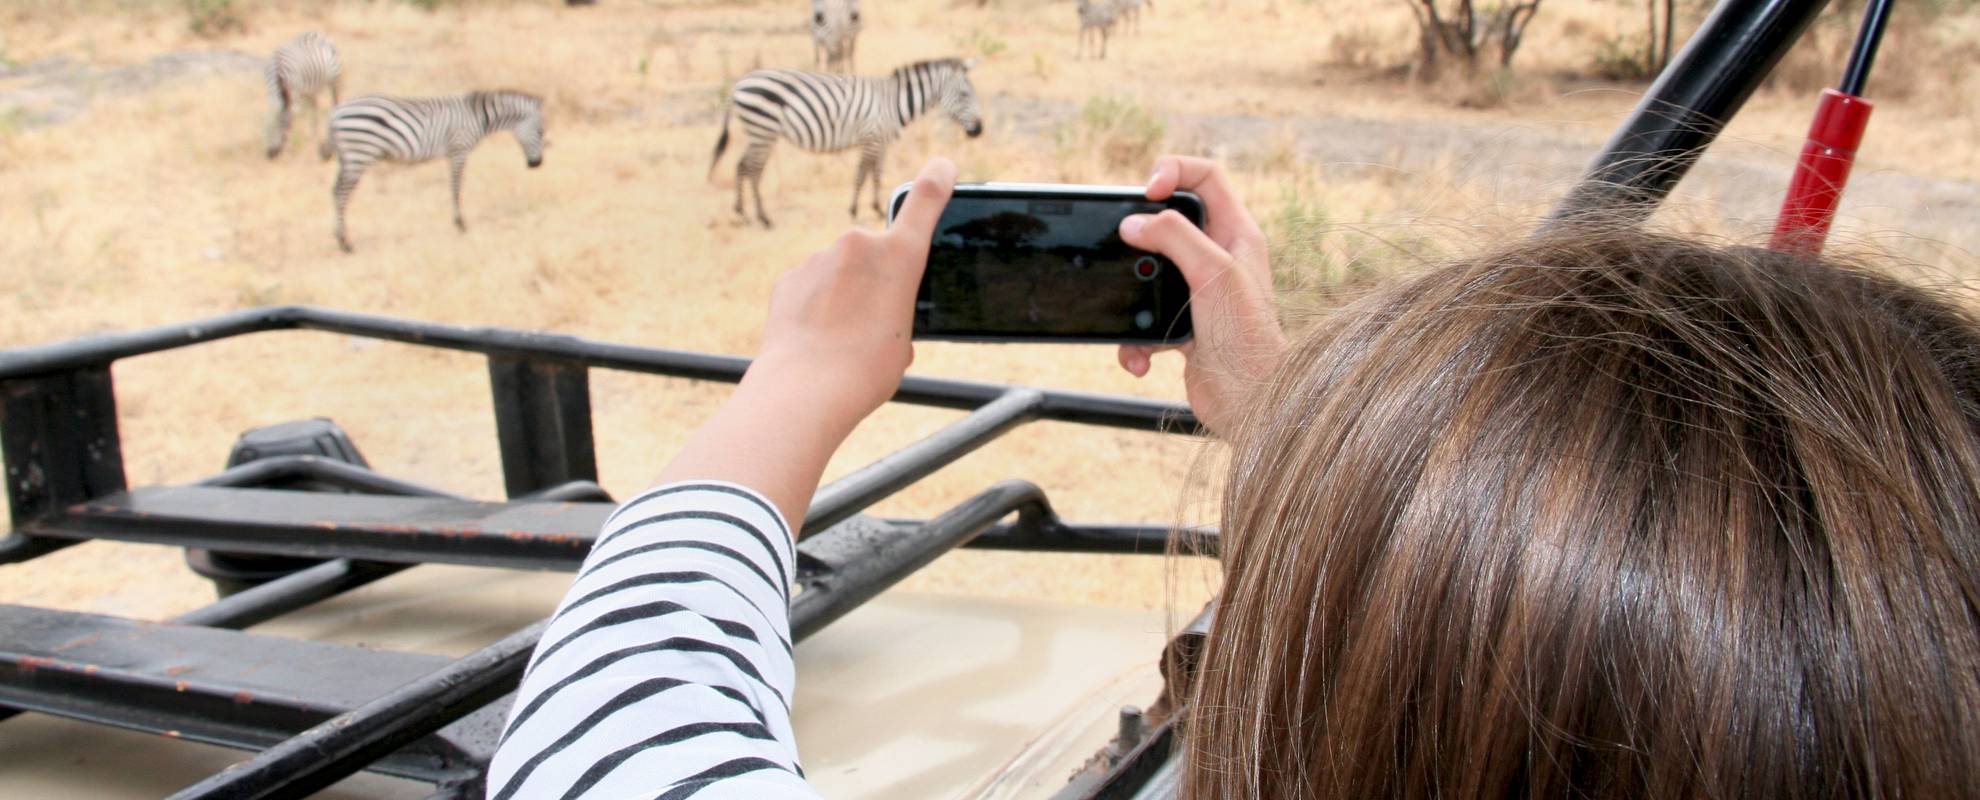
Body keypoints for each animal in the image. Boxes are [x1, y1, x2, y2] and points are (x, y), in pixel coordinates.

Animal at [265, 31, 342, 159]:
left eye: (279, 126)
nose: (270, 154)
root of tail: (317, 33)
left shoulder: (294, 92)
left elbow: (291, 119)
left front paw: (288, 150)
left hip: (334, 78)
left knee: (335, 102)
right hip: (309, 88)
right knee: (315, 105)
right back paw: (313, 134)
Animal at [322, 88, 546, 251]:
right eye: (540, 132)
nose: (536, 164)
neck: (478, 118)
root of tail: (335, 112)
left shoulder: (453, 152)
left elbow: (453, 186)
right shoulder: (458, 149)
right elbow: (456, 186)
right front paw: (460, 224)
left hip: (348, 157)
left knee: (335, 191)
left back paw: (339, 237)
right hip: (359, 154)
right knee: (342, 193)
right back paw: (345, 243)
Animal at [712, 58, 990, 227]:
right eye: (964, 94)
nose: (978, 130)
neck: (893, 103)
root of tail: (738, 84)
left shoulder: (880, 141)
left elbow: (875, 173)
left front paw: (876, 208)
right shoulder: (872, 138)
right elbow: (862, 173)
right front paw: (856, 210)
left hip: (758, 131)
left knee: (741, 166)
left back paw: (742, 211)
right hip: (763, 129)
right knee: (753, 169)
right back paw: (763, 217)